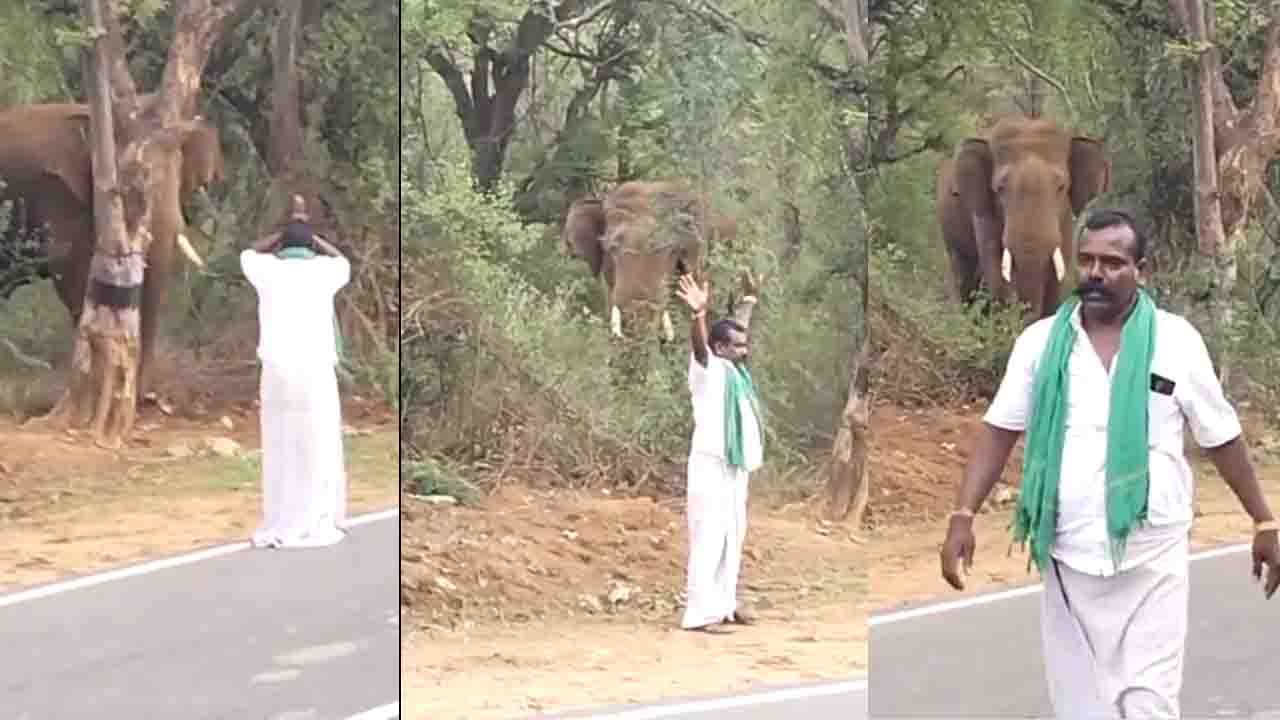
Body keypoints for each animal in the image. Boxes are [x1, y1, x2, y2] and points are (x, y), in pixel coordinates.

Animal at [942, 114, 1111, 319]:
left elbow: (1058, 273)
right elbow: (996, 272)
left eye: (1061, 187)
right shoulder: (985, 215)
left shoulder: (1065, 219)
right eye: (1000, 189)